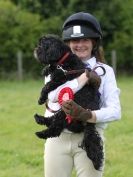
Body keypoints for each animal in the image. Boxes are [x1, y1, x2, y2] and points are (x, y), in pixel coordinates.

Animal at [34, 34, 104, 170]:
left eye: (42, 45)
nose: (35, 50)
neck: (63, 60)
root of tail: (89, 118)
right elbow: (50, 68)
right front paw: (46, 69)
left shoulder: (60, 78)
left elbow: (47, 86)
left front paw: (41, 98)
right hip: (65, 109)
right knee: (53, 120)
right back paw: (40, 119)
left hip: (68, 107)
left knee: (55, 127)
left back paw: (41, 133)